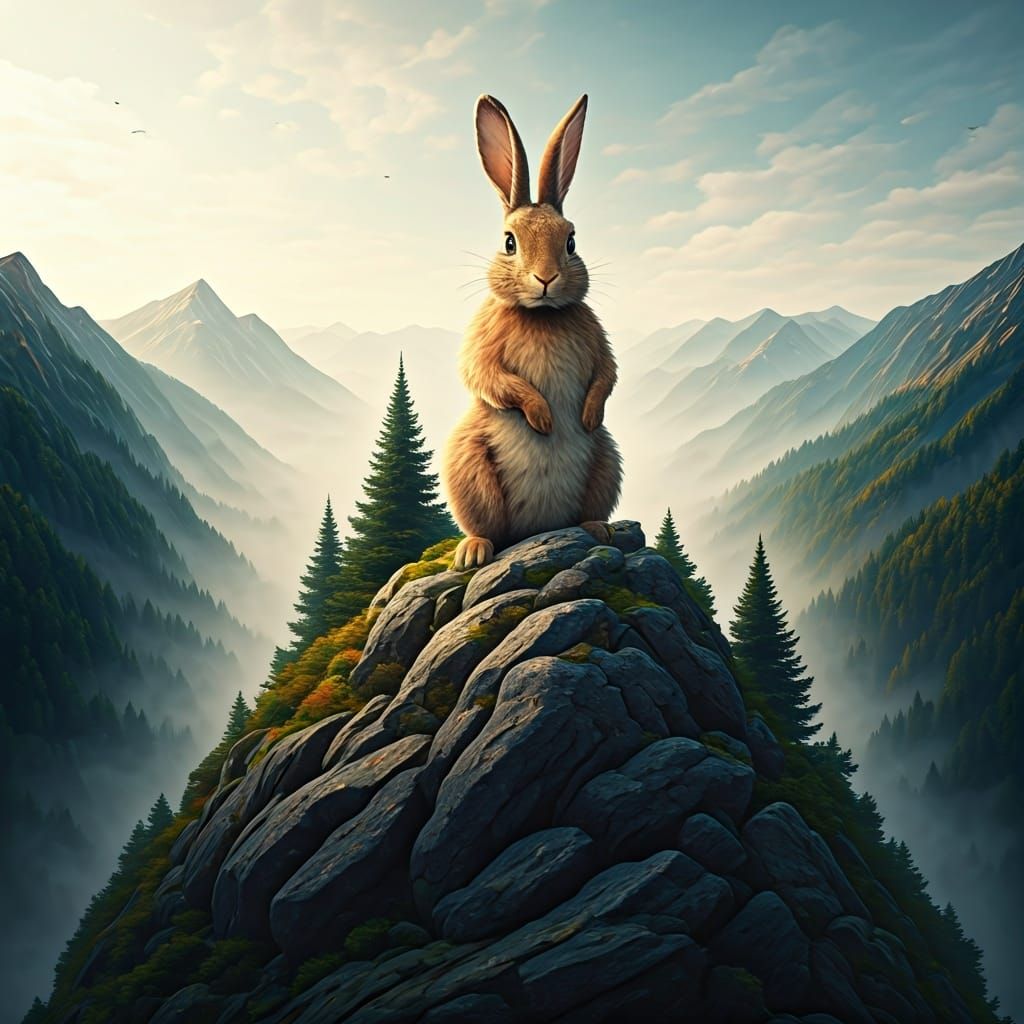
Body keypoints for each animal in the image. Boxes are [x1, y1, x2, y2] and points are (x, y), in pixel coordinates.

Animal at [443, 93, 623, 571]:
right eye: (509, 242)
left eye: (571, 241)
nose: (545, 278)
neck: (541, 314)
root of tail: (537, 528)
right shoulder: (483, 346)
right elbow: (490, 377)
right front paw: (543, 418)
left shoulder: (598, 341)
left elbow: (606, 376)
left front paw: (587, 415)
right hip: (469, 466)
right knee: (485, 526)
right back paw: (473, 552)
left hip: (606, 460)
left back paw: (598, 531)